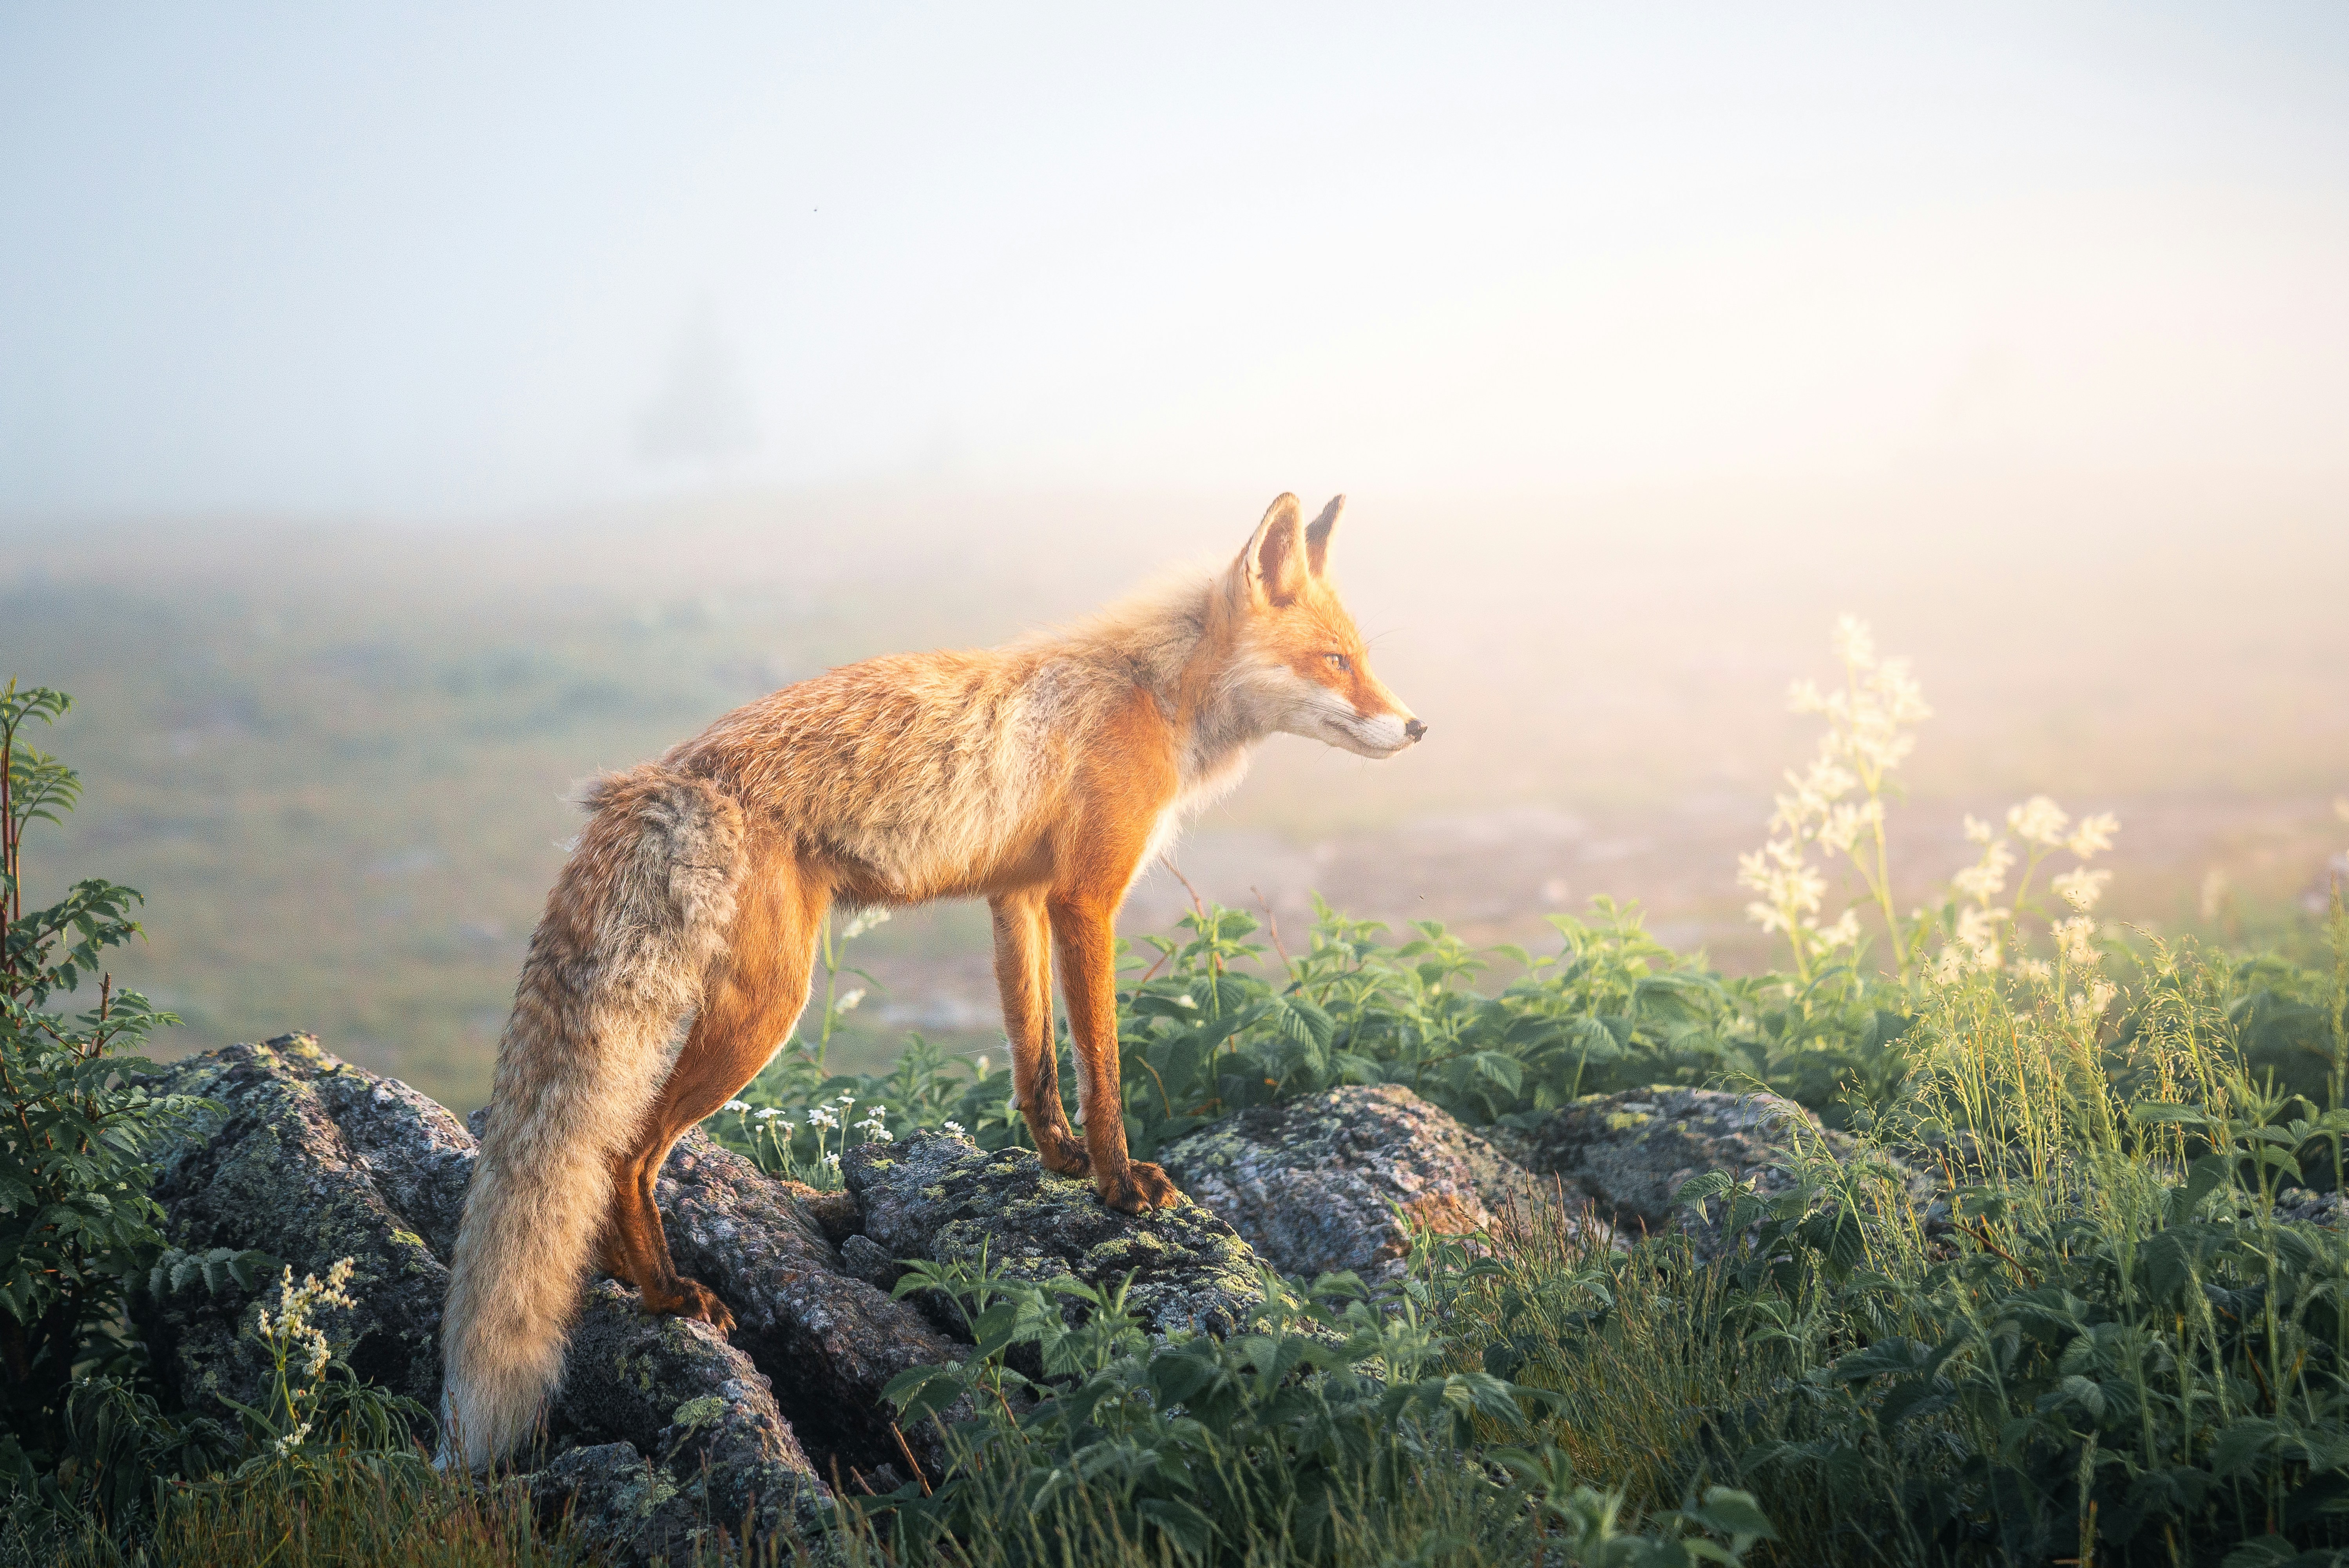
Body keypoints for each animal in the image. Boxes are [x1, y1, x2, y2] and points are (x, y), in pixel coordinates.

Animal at [436, 492, 1422, 1468]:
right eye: (1335, 660)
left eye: (1363, 656)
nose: (1418, 727)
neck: (1150, 691)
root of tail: (655, 779)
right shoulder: (1085, 901)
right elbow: (1102, 1067)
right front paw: (1116, 1185)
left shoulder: (1017, 898)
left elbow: (1035, 1063)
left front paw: (1060, 1161)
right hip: (766, 1012)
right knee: (626, 1153)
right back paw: (668, 1295)